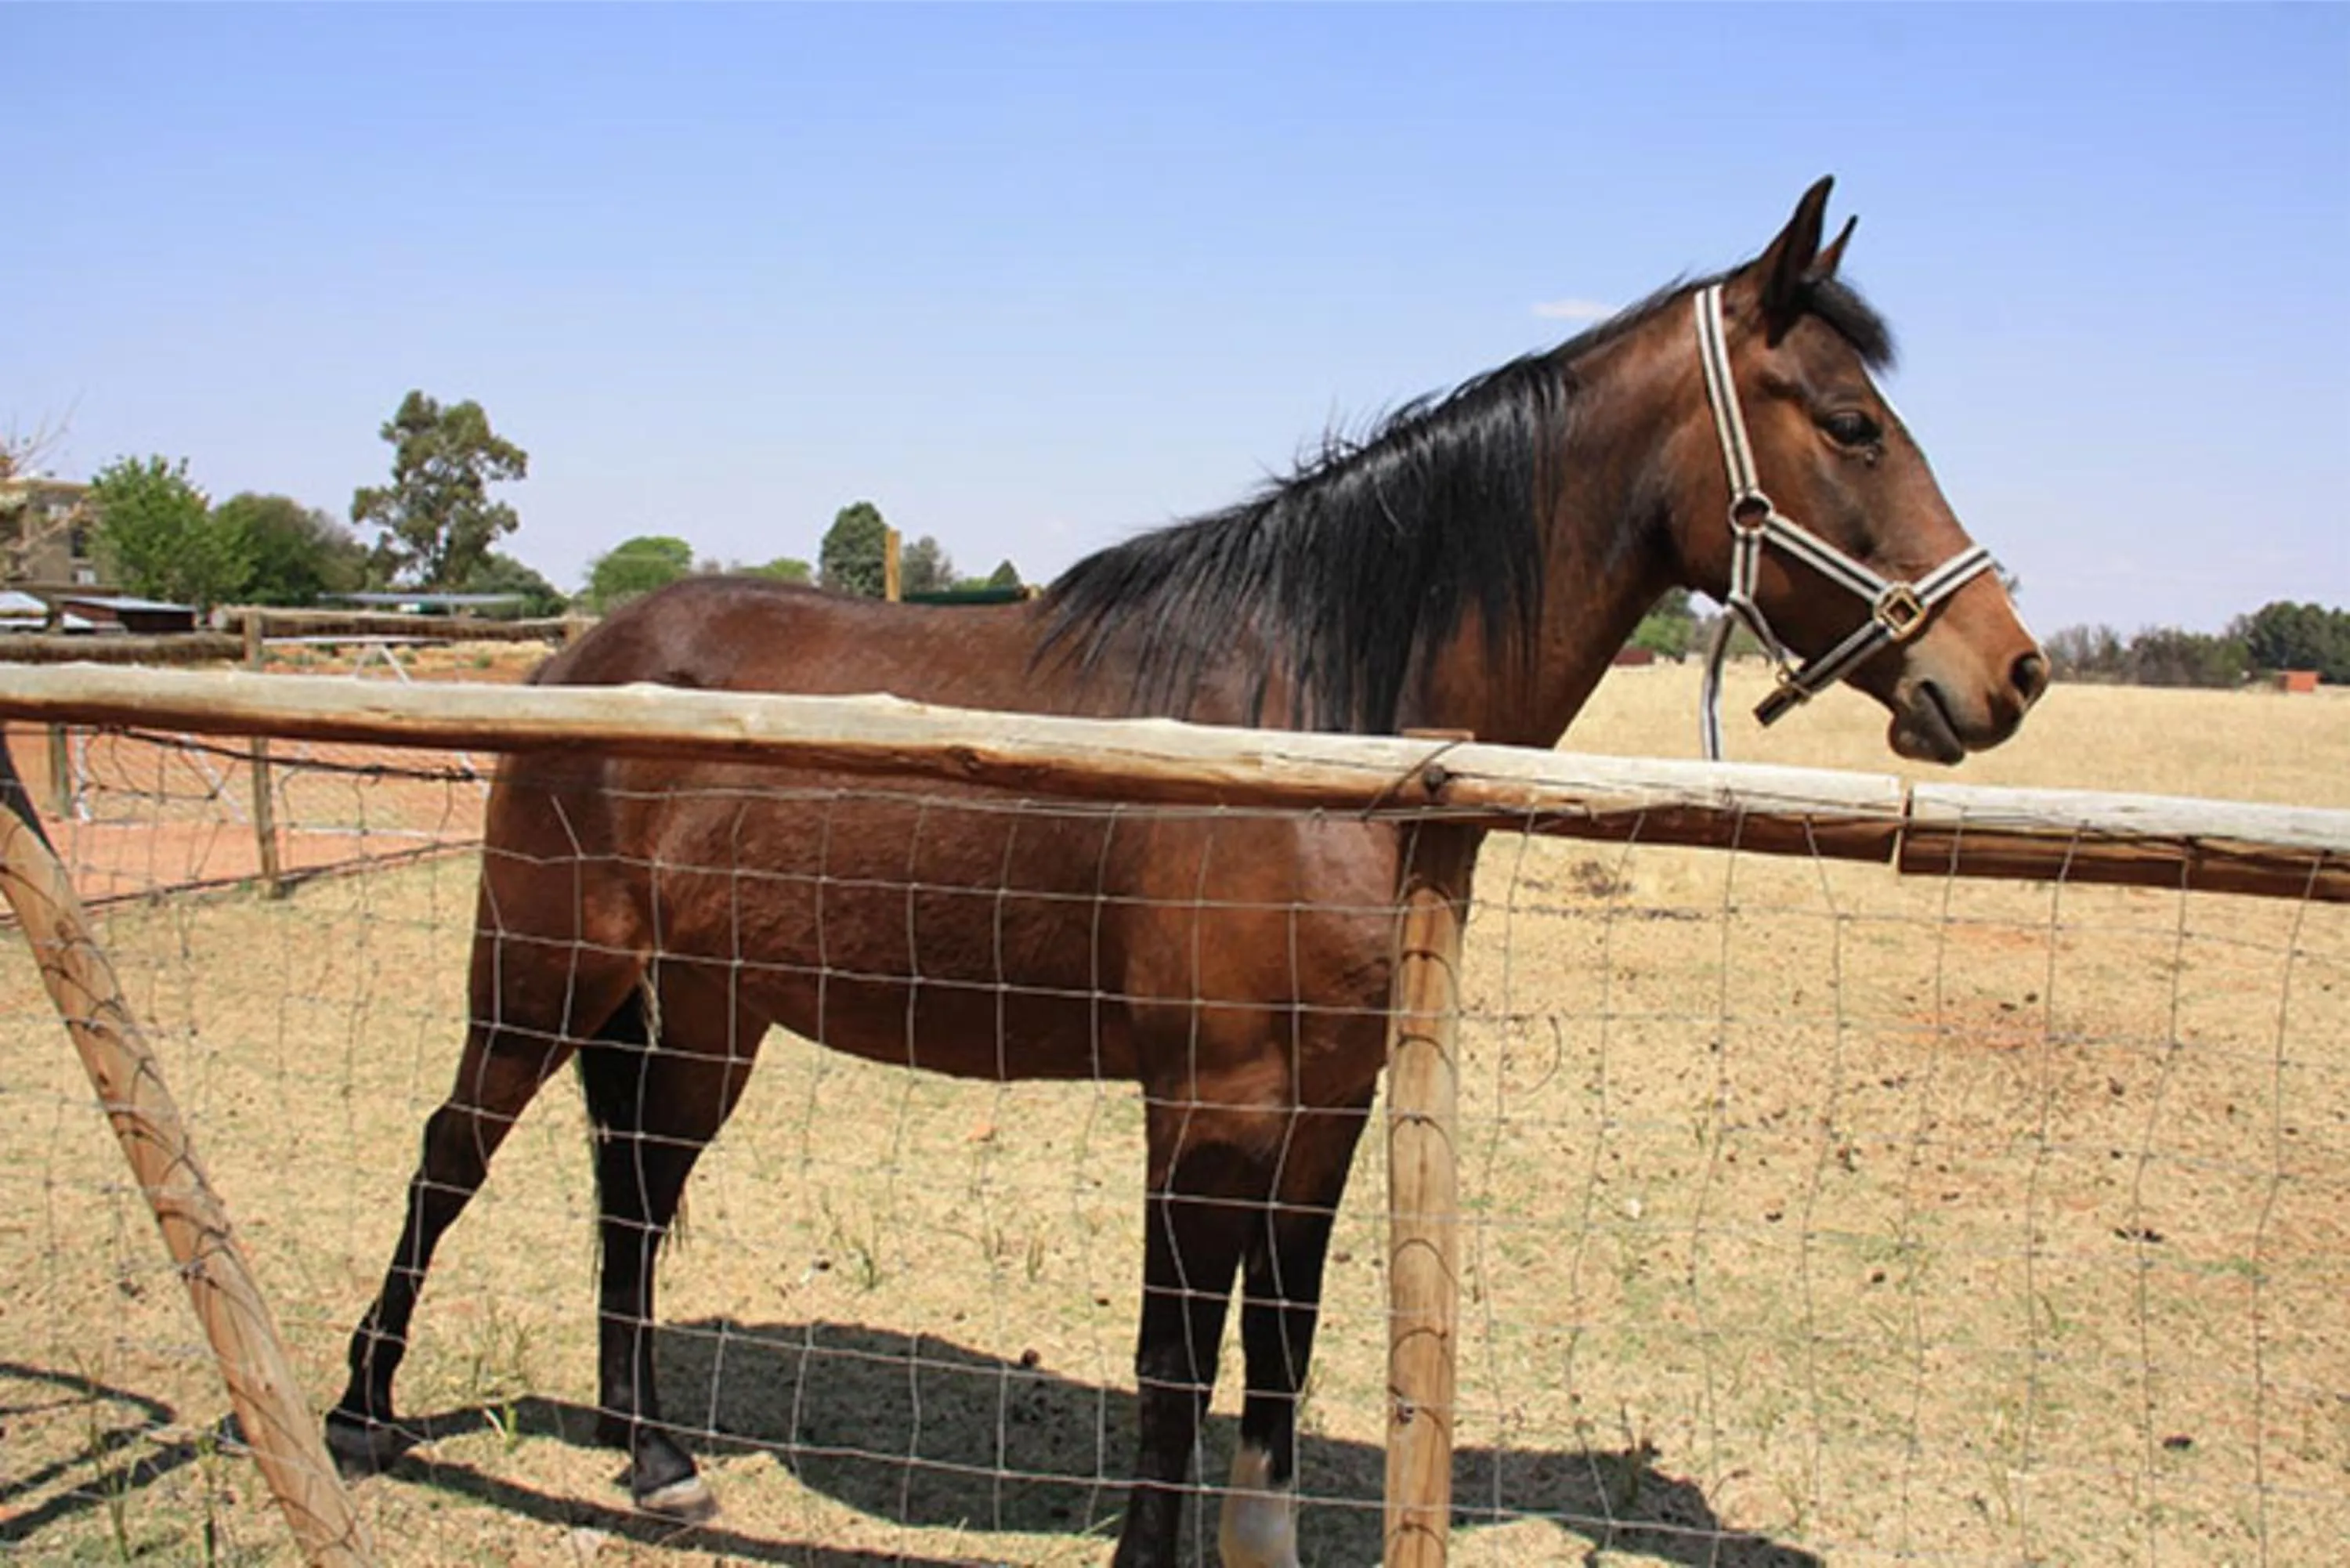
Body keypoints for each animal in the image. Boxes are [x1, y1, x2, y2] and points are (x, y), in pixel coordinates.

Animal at [324, 178, 2046, 1566]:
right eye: (1850, 423)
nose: (2008, 669)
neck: (1316, 707)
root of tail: (580, 658)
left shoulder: (1330, 1099)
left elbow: (1278, 1339)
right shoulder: (1207, 1098)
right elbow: (1177, 1357)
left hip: (701, 1021)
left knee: (633, 1196)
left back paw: (656, 1458)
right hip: (542, 979)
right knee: (446, 1156)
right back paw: (361, 1412)